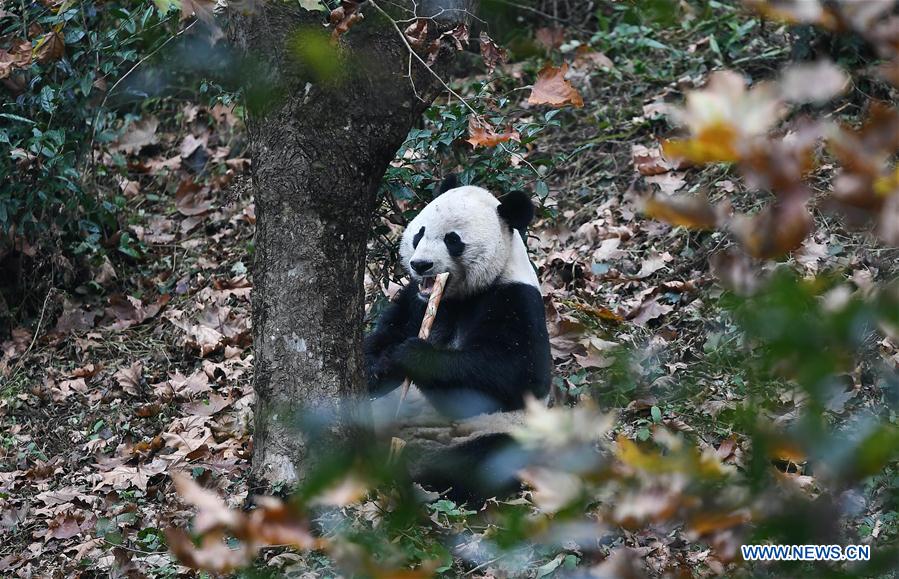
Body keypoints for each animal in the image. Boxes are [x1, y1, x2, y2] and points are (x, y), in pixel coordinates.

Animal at [364, 177, 552, 500]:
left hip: (495, 431)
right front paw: (378, 367)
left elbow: (520, 372)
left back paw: (423, 479)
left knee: (485, 460)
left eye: (453, 240)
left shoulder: (515, 299)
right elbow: (385, 334)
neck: (460, 297)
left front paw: (411, 356)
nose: (420, 265)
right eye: (420, 233)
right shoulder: (415, 302)